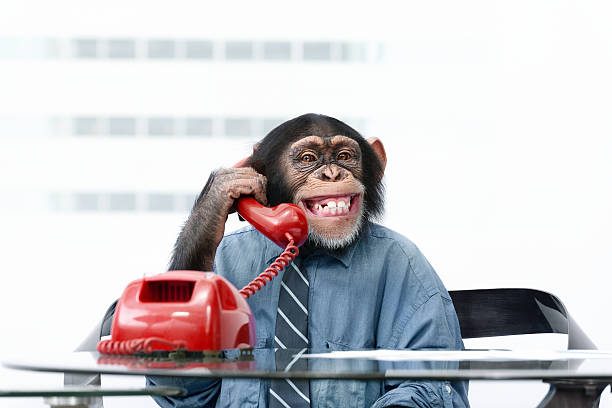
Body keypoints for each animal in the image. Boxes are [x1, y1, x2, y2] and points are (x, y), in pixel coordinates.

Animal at [153, 113, 468, 406]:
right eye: (308, 158)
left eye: (344, 156)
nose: (332, 174)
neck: (309, 251)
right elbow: (190, 386)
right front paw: (223, 190)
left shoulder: (418, 275)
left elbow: (418, 380)